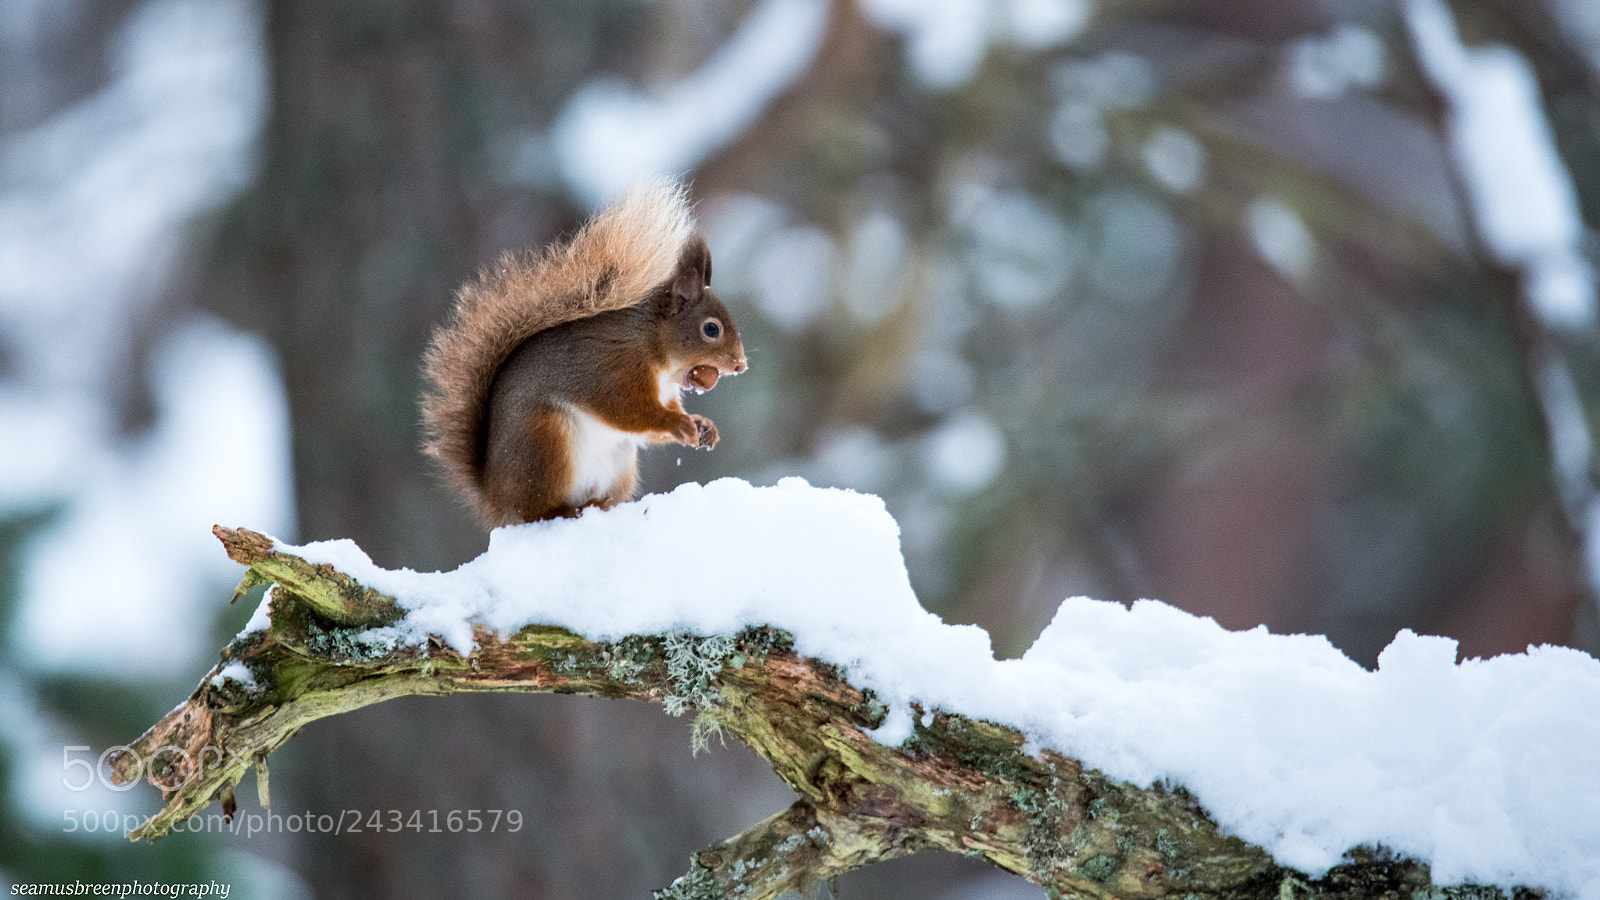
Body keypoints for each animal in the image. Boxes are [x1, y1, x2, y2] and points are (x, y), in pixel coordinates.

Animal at [419, 181, 748, 526]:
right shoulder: (613, 367)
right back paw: (565, 510)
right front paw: (677, 423)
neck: (654, 350)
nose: (741, 365)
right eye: (710, 329)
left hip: (618, 465)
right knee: (536, 511)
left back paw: (601, 505)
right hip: (545, 444)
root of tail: (495, 499)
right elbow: (626, 410)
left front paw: (702, 426)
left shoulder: (666, 390)